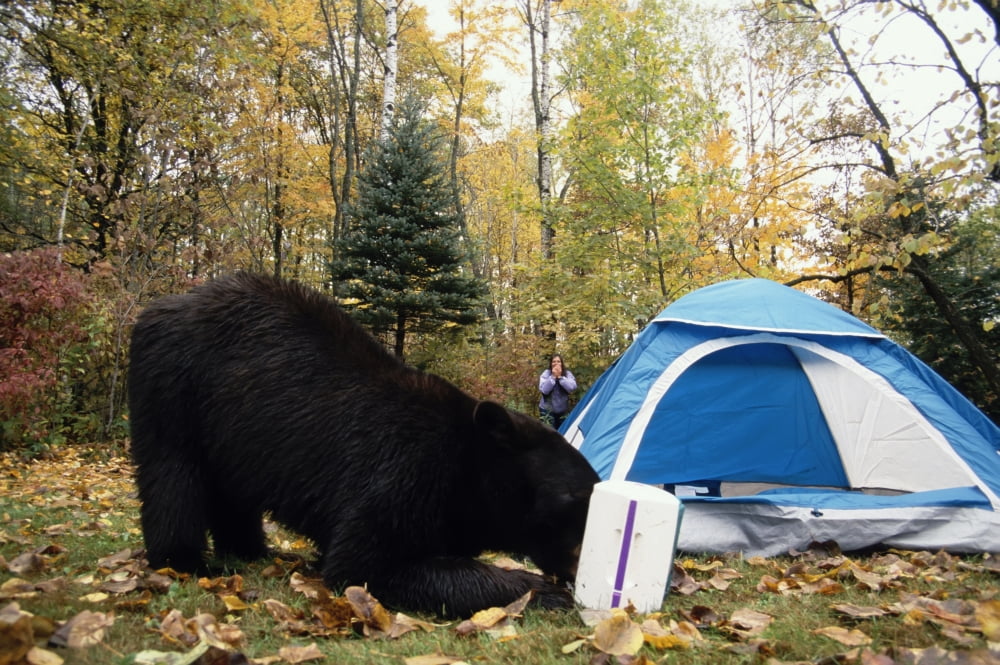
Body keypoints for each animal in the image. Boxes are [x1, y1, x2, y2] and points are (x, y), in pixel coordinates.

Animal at [127, 272, 599, 617]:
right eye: (579, 498)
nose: (582, 571)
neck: (467, 473)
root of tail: (160, 305)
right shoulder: (404, 474)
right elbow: (363, 564)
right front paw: (538, 590)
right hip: (174, 385)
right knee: (172, 474)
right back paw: (182, 560)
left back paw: (251, 549)